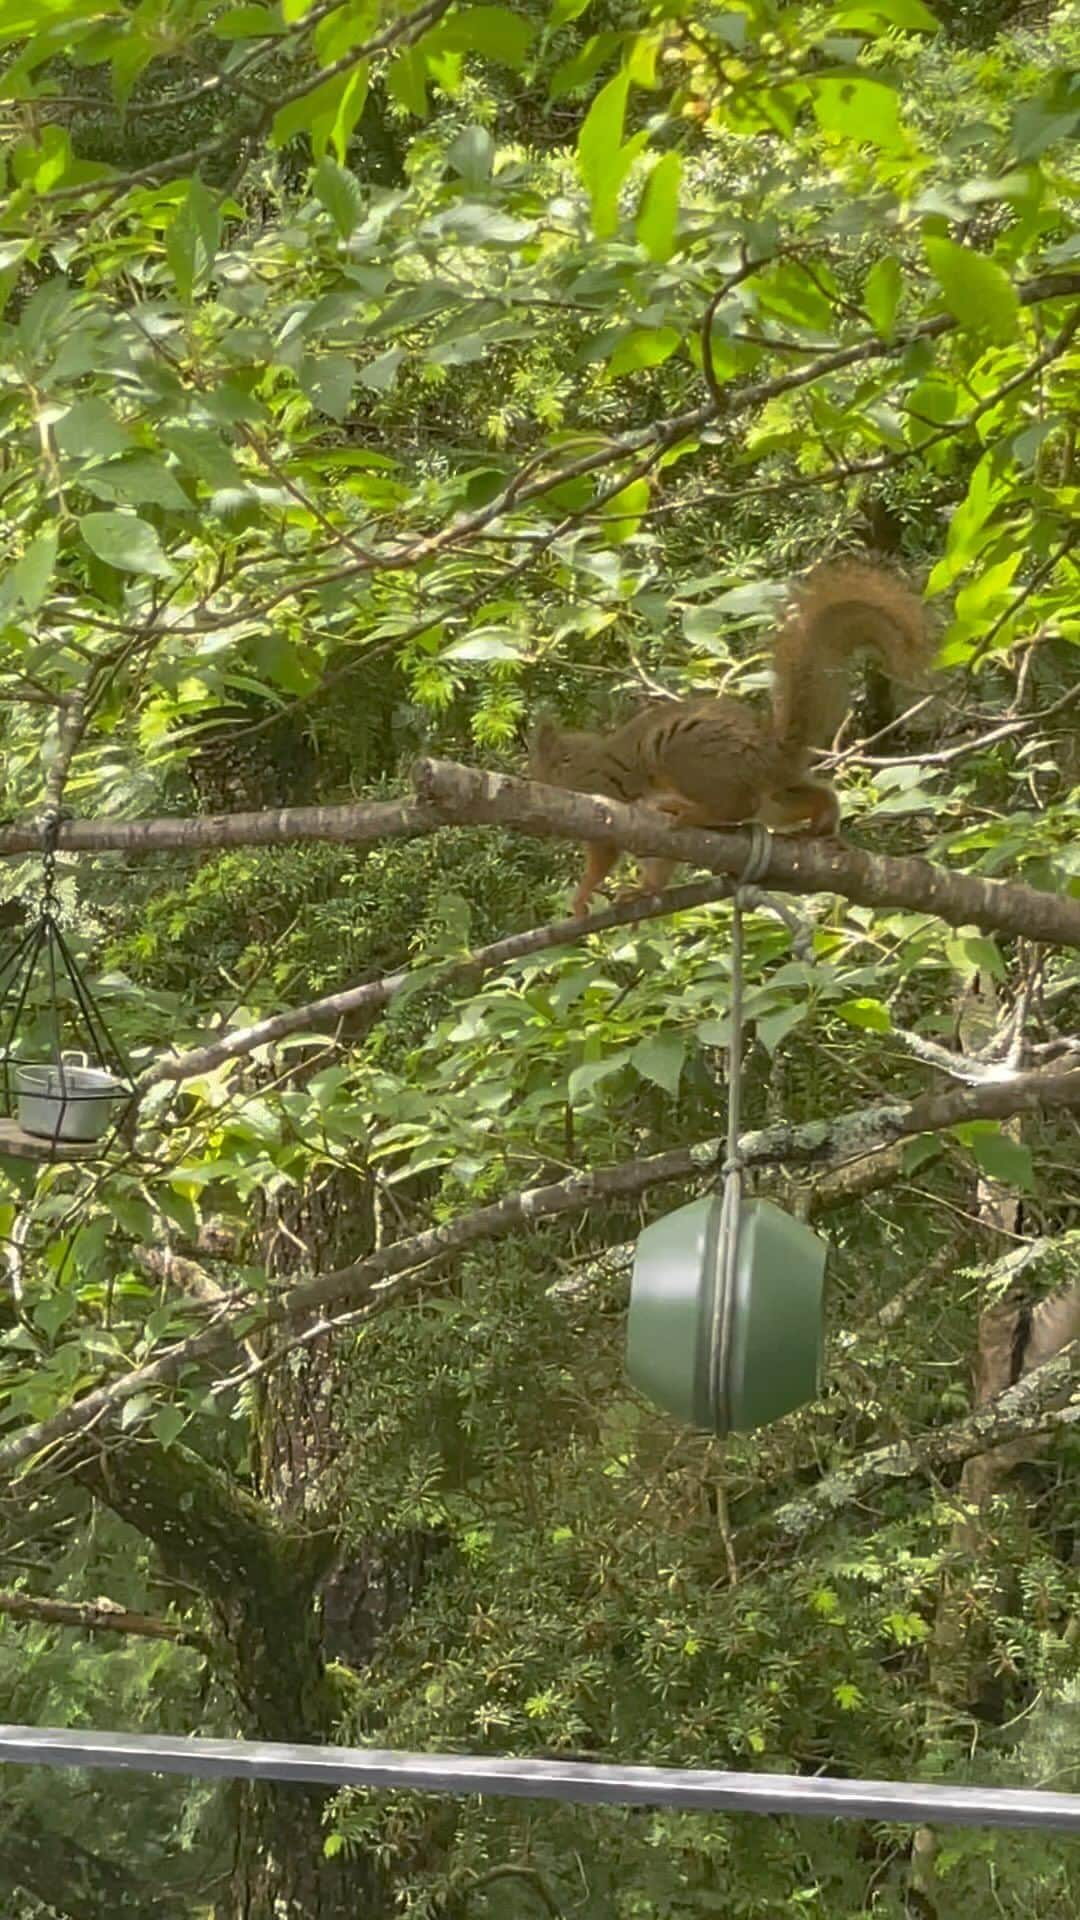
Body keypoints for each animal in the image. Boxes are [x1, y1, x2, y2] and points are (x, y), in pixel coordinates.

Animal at [526, 556, 926, 913]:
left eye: (535, 771)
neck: (579, 759)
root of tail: (769, 753)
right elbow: (657, 860)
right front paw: (644, 890)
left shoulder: (601, 796)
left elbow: (603, 853)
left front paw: (581, 897)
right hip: (774, 800)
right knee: (805, 798)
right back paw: (821, 824)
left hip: (685, 756)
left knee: (736, 807)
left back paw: (692, 812)